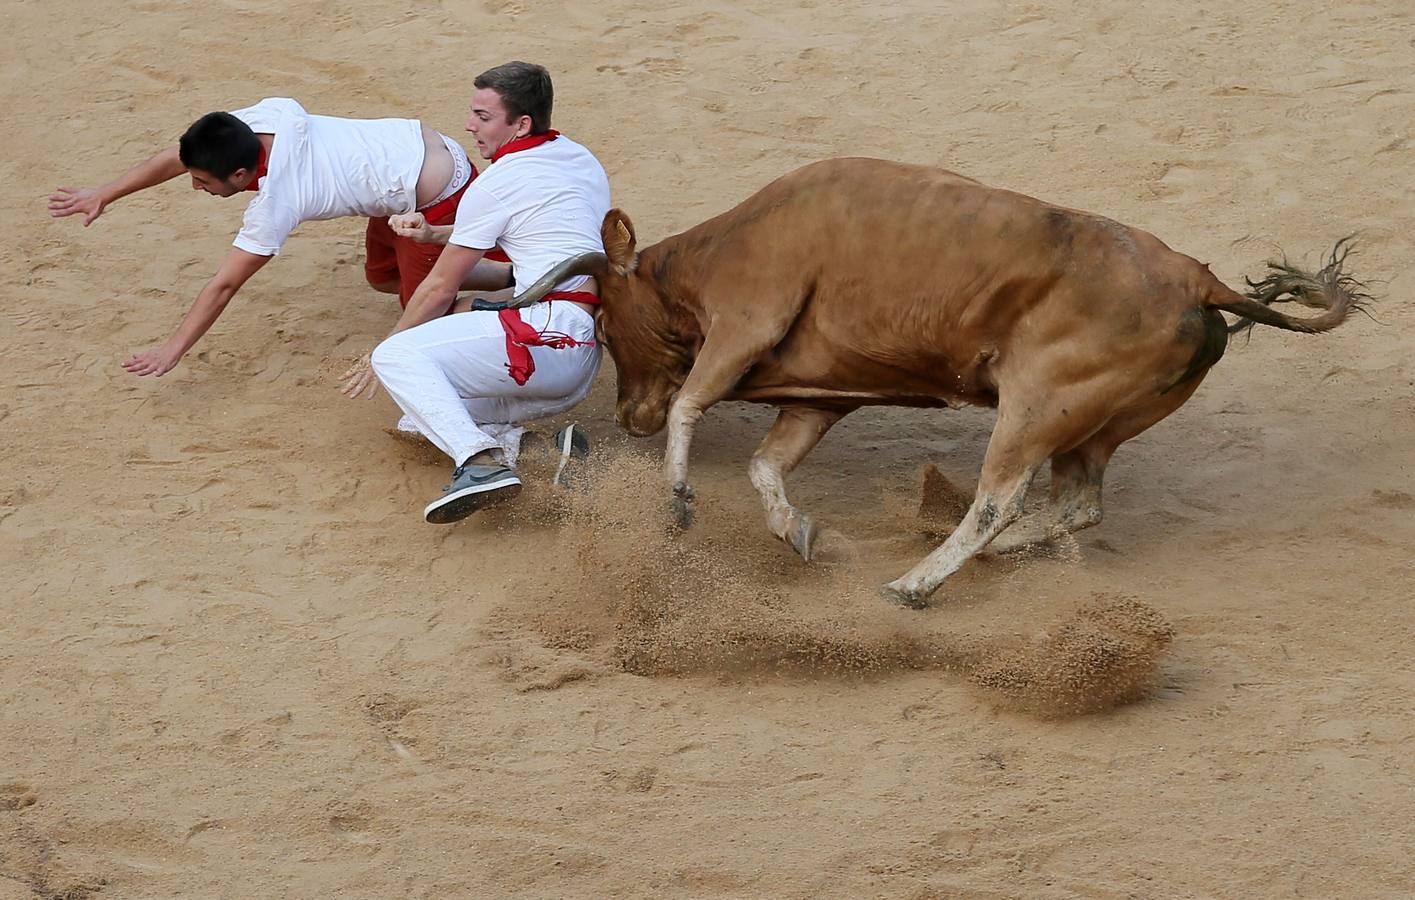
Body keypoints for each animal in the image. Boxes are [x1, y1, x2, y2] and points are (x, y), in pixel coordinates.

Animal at [481, 158, 1364, 608]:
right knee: (1075, 505)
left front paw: (676, 498)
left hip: (1036, 407)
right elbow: (767, 464)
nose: (629, 415)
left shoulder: (743, 326)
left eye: (604, 320)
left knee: (999, 500)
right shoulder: (815, 398)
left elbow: (693, 404)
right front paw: (792, 529)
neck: (711, 255)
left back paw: (916, 581)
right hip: (1093, 427)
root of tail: (1196, 280)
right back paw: (981, 553)